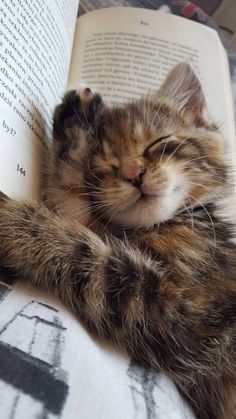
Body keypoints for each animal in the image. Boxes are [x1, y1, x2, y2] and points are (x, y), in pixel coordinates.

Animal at [0, 63, 236, 419]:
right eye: (106, 166)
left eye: (159, 143)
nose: (133, 172)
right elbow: (72, 202)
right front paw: (77, 121)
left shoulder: (180, 314)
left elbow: (83, 251)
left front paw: (15, 223)